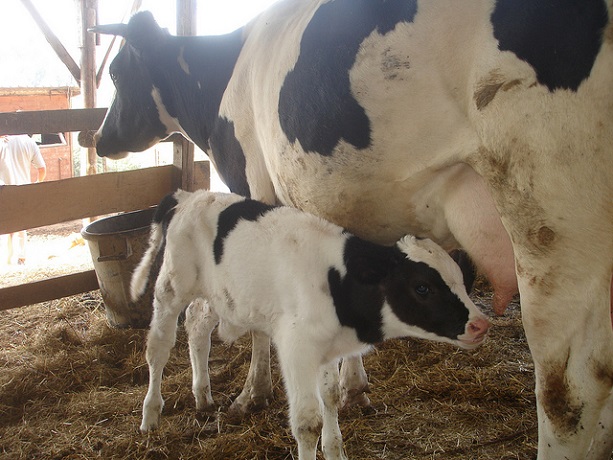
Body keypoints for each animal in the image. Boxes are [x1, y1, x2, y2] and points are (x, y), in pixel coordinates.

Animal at [133, 189, 488, 458]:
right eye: (422, 287)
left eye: (460, 280)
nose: (480, 324)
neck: (336, 282)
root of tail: (189, 195)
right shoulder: (297, 349)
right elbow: (308, 423)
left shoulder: (327, 350)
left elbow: (329, 397)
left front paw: (335, 451)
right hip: (171, 286)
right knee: (159, 347)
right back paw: (150, 415)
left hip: (219, 295)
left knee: (197, 325)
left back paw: (203, 397)